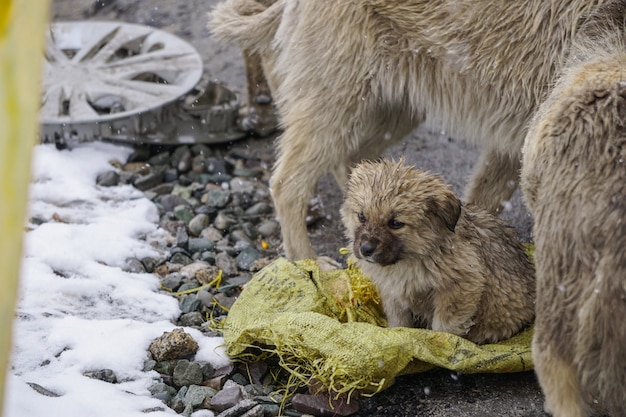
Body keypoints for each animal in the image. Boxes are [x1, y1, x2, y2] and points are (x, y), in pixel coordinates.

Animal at [208, 0, 620, 266]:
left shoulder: (517, 139)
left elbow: (485, 198)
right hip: (339, 95)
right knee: (288, 183)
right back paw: (306, 263)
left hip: (394, 103)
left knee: (356, 164)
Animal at [338, 158, 532, 342]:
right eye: (361, 216)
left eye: (395, 223)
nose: (366, 249)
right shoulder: (393, 295)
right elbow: (399, 323)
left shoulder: (462, 286)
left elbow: (444, 327)